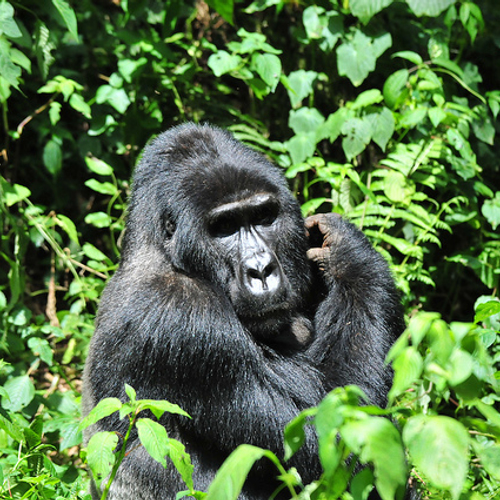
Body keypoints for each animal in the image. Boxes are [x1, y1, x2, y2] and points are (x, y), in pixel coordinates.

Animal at [81, 123, 402, 498]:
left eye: (263, 217)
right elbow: (335, 440)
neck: (161, 253)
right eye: (225, 228)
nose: (261, 270)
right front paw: (351, 258)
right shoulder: (183, 316)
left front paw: (343, 245)